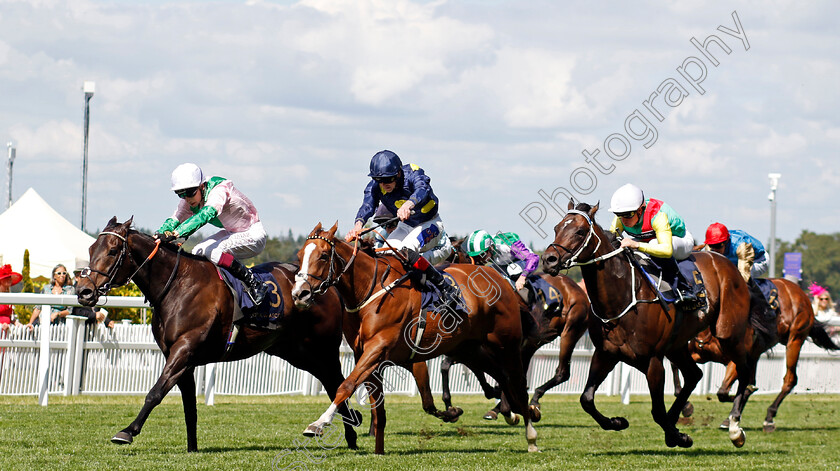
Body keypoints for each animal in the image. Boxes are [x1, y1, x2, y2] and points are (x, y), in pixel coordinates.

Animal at [79, 218, 364, 454]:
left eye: (112, 250)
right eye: (91, 249)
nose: (83, 291)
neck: (178, 286)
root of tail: (327, 286)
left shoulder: (184, 350)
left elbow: (155, 392)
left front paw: (127, 431)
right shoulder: (183, 358)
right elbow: (189, 406)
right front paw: (192, 447)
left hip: (323, 349)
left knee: (339, 383)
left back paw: (347, 428)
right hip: (297, 352)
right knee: (331, 383)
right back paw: (348, 431)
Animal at [290, 223, 540, 456]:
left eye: (323, 256)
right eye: (300, 257)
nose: (299, 294)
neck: (370, 291)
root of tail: (500, 279)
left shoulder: (380, 349)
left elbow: (346, 385)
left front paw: (319, 423)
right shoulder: (372, 356)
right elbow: (381, 409)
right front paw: (379, 450)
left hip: (506, 345)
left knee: (517, 383)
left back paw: (531, 436)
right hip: (470, 350)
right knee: (502, 379)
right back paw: (517, 414)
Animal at [544, 203, 756, 450]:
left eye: (579, 231)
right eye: (557, 227)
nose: (548, 259)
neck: (623, 296)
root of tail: (726, 263)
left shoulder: (653, 360)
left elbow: (656, 411)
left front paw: (680, 437)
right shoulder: (606, 353)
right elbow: (586, 399)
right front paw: (618, 422)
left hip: (728, 333)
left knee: (744, 370)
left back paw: (734, 428)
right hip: (677, 345)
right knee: (694, 374)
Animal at [676, 278, 840, 434]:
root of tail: (801, 294)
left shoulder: (736, 360)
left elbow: (723, 392)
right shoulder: (696, 353)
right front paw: (686, 406)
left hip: (795, 340)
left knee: (789, 379)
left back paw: (768, 418)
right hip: (758, 352)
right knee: (753, 380)